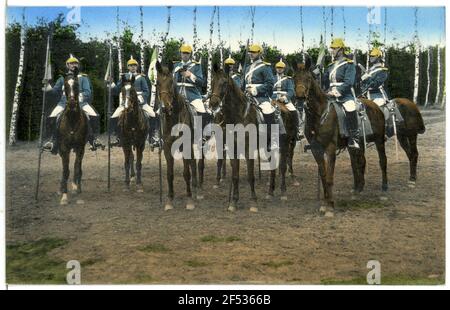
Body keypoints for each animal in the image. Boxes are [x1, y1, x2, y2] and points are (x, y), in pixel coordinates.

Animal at [156, 60, 200, 211]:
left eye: (171, 83)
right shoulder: (167, 147)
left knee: (194, 165)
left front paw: (189, 200)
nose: (165, 108)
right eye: (157, 83)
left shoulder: (186, 146)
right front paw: (169, 200)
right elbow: (170, 174)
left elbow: (186, 173)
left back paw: (196, 192)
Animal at [209, 64, 258, 212]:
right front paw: (234, 201)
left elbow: (250, 175)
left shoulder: (248, 148)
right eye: (212, 82)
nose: (213, 103)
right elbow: (235, 174)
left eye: (224, 83)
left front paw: (254, 201)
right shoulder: (232, 147)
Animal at [292, 60, 386, 216]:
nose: (300, 97)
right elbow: (324, 175)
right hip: (356, 145)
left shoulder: (330, 149)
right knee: (359, 162)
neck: (319, 114)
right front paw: (325, 203)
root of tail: (376, 106)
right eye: (294, 77)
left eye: (309, 78)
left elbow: (330, 177)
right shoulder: (316, 150)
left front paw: (330, 206)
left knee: (382, 161)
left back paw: (384, 189)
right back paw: (358, 189)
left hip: (379, 141)